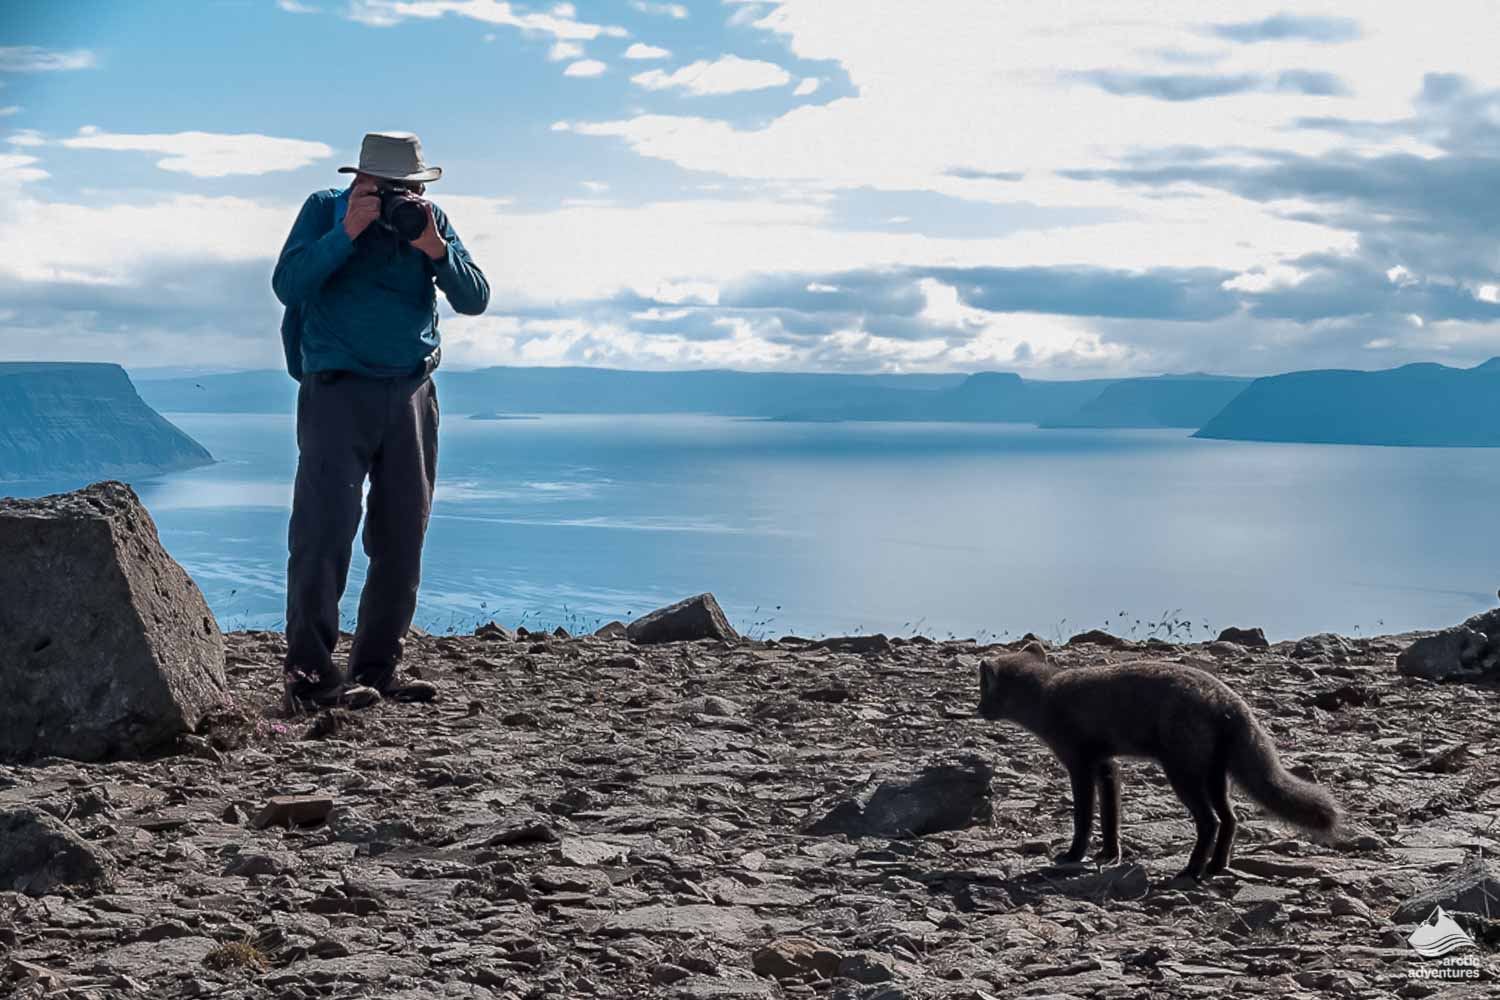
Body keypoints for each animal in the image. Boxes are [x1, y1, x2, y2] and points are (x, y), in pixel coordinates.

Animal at [975, 642, 1342, 882]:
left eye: (982, 690)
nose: (977, 711)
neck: (1046, 695)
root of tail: (1232, 703)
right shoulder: (1108, 765)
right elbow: (1111, 817)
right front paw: (1109, 855)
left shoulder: (1079, 763)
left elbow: (1084, 816)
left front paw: (1073, 855)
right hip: (1215, 775)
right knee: (1231, 819)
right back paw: (1216, 867)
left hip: (1182, 772)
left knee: (1210, 821)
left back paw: (1191, 870)